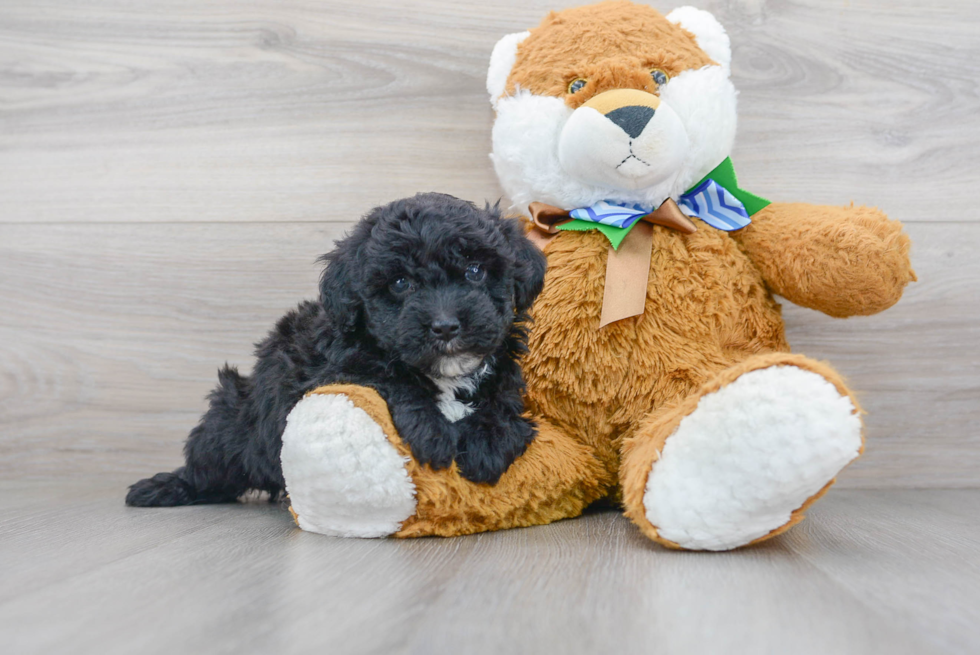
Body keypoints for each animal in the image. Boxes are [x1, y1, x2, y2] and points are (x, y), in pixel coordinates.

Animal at [126, 192, 548, 510]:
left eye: (475, 271)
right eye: (400, 283)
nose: (445, 325)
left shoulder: (504, 373)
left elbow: (500, 401)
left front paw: (487, 443)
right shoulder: (332, 370)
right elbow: (389, 379)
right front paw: (433, 433)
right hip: (229, 420)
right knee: (209, 467)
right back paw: (164, 487)